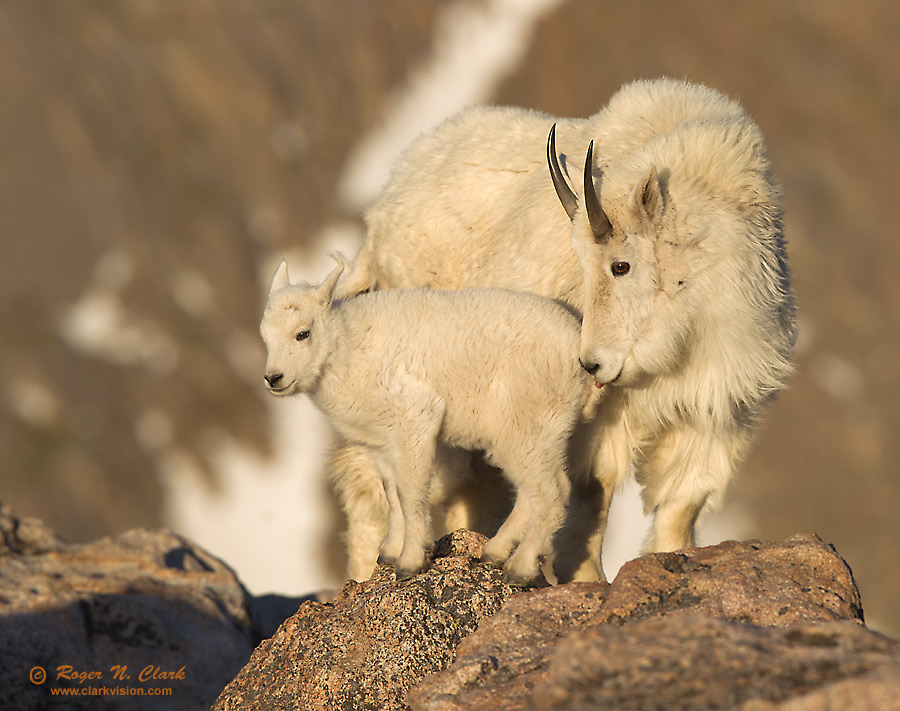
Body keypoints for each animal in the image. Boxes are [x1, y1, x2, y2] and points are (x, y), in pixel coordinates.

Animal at [336, 76, 796, 584]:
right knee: (372, 480)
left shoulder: (712, 408)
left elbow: (680, 506)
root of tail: (381, 214)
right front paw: (584, 579)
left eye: (620, 265)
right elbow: (590, 492)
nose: (591, 363)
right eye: (582, 265)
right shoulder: (594, 416)